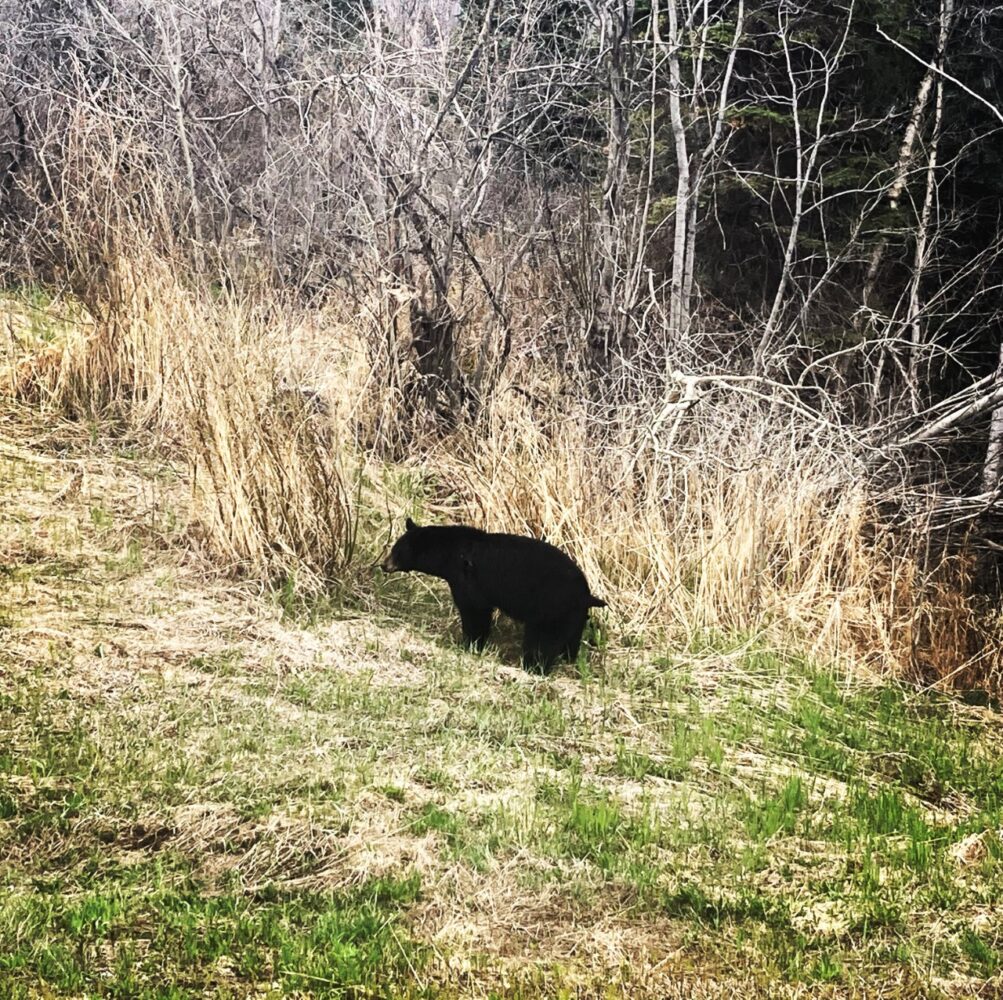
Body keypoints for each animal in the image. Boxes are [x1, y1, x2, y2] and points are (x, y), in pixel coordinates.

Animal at [381, 521, 601, 670]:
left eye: (397, 551)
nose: (384, 564)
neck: (451, 553)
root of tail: (586, 594)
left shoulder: (469, 581)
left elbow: (474, 611)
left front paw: (470, 644)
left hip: (550, 609)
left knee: (543, 642)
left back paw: (534, 667)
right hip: (574, 617)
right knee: (570, 640)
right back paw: (568, 661)